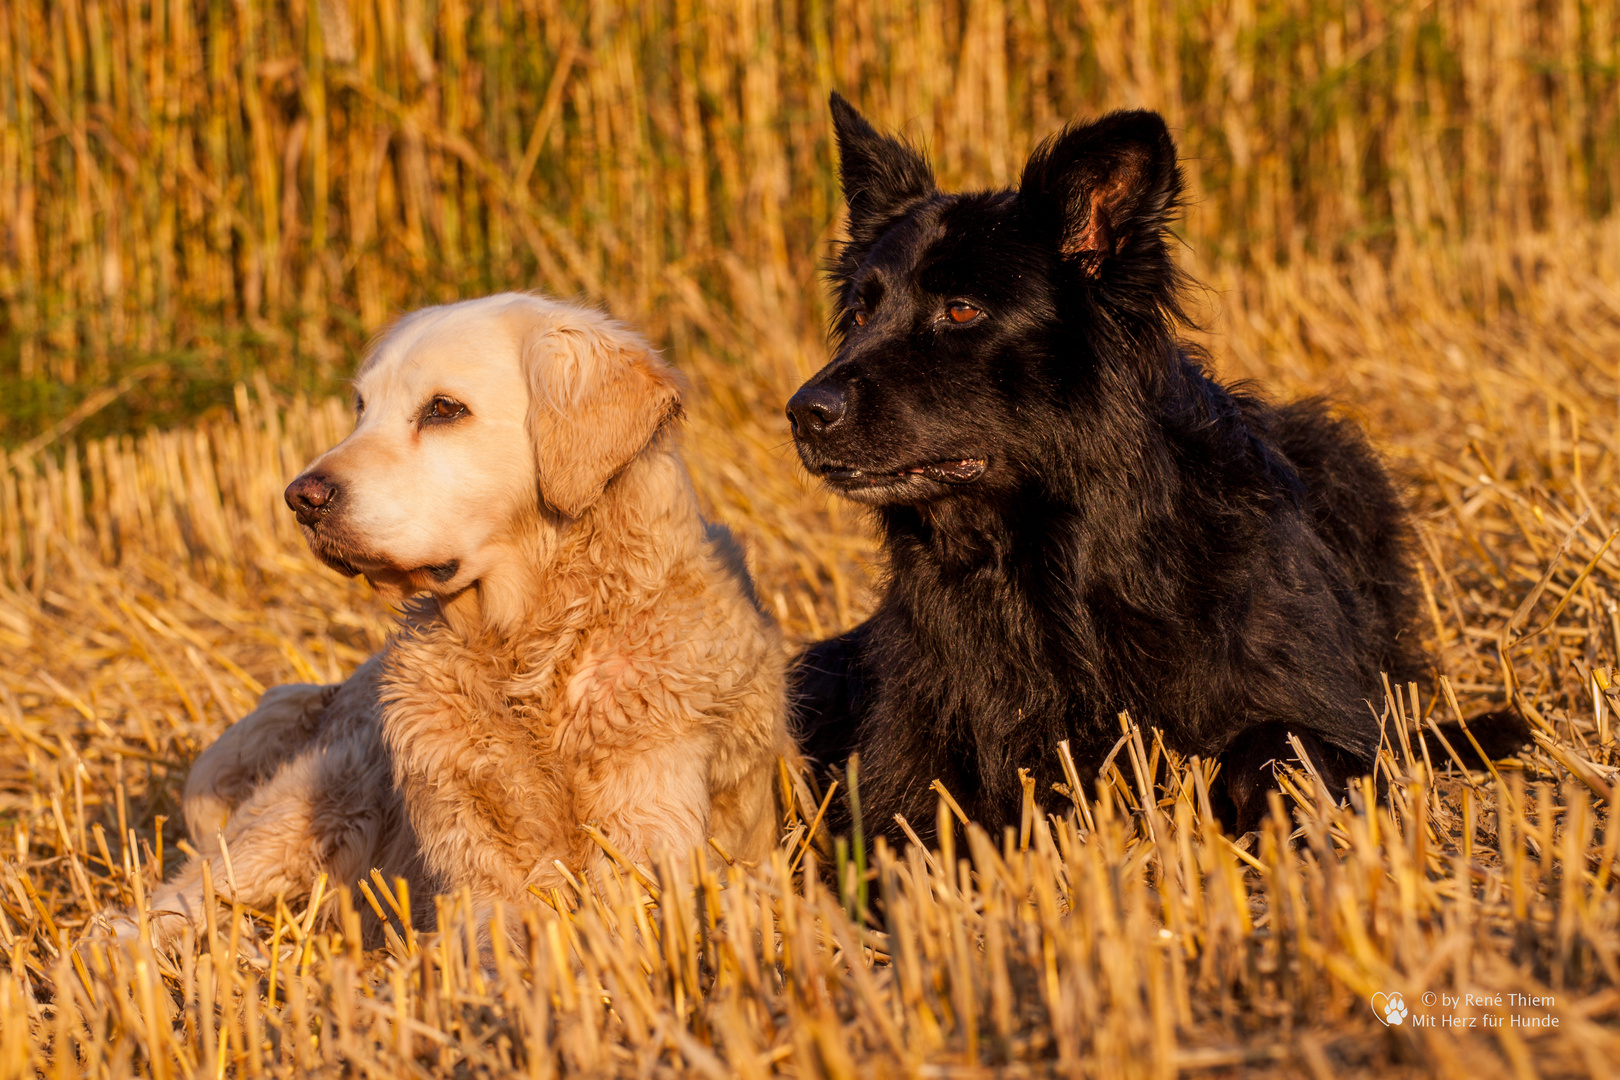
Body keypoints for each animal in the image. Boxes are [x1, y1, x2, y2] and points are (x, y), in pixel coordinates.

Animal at [787, 95, 1516, 835]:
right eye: (860, 313)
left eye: (961, 310)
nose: (803, 412)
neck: (1043, 563)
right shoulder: (905, 774)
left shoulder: (1321, 711)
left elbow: (1274, 747)